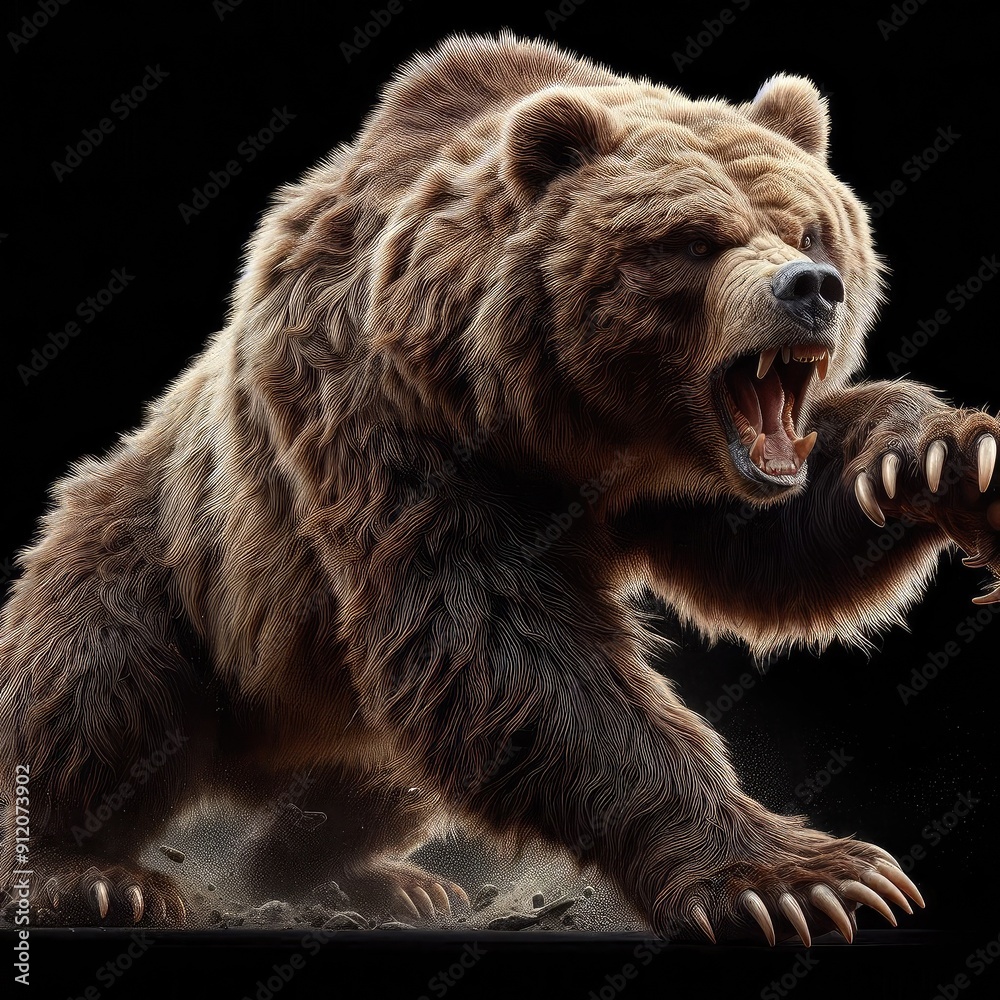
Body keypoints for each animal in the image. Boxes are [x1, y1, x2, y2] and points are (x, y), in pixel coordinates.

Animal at [1, 31, 997, 944]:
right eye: (694, 240)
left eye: (811, 229)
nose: (811, 288)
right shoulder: (387, 414)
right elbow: (500, 642)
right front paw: (803, 876)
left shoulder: (674, 475)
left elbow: (767, 552)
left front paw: (944, 458)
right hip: (162, 563)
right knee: (96, 688)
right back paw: (90, 876)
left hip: (336, 711)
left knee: (376, 786)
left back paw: (379, 879)